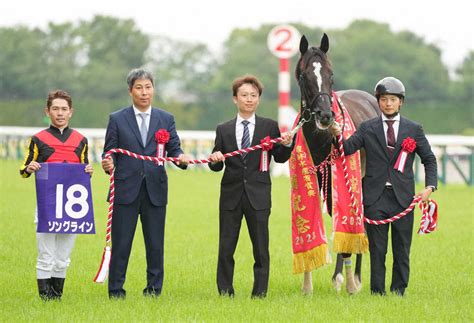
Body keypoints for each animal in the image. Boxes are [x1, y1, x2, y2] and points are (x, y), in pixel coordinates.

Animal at [294, 34, 380, 294]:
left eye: (330, 74)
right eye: (304, 76)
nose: (325, 115)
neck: (322, 139)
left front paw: (350, 281)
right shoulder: (315, 178)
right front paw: (307, 283)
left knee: (360, 219)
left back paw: (355, 277)